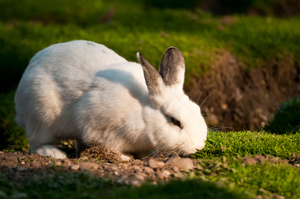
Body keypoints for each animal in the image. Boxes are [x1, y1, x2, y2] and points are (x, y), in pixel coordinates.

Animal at [14, 40, 206, 160]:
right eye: (175, 121)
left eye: (197, 110)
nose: (198, 147)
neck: (143, 113)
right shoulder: (97, 126)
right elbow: (110, 146)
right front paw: (124, 157)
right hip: (41, 118)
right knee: (36, 144)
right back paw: (55, 153)